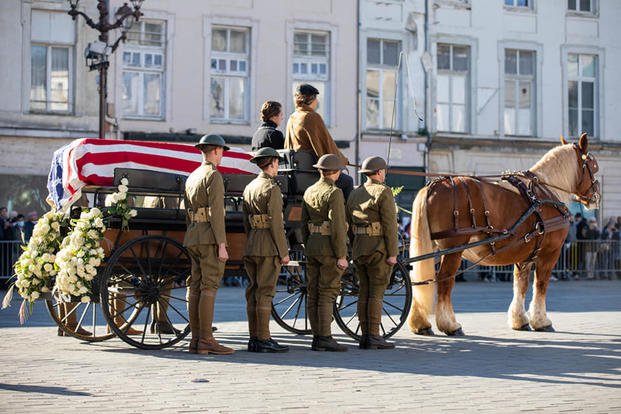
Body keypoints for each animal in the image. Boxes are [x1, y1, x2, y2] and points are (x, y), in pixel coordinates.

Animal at [406, 133, 596, 336]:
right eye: (594, 166)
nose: (595, 196)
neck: (547, 192)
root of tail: (434, 186)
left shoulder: (525, 255)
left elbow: (520, 285)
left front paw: (519, 320)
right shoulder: (550, 252)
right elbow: (541, 284)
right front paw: (541, 320)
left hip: (432, 247)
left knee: (418, 279)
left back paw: (420, 323)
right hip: (453, 250)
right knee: (444, 282)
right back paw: (450, 324)